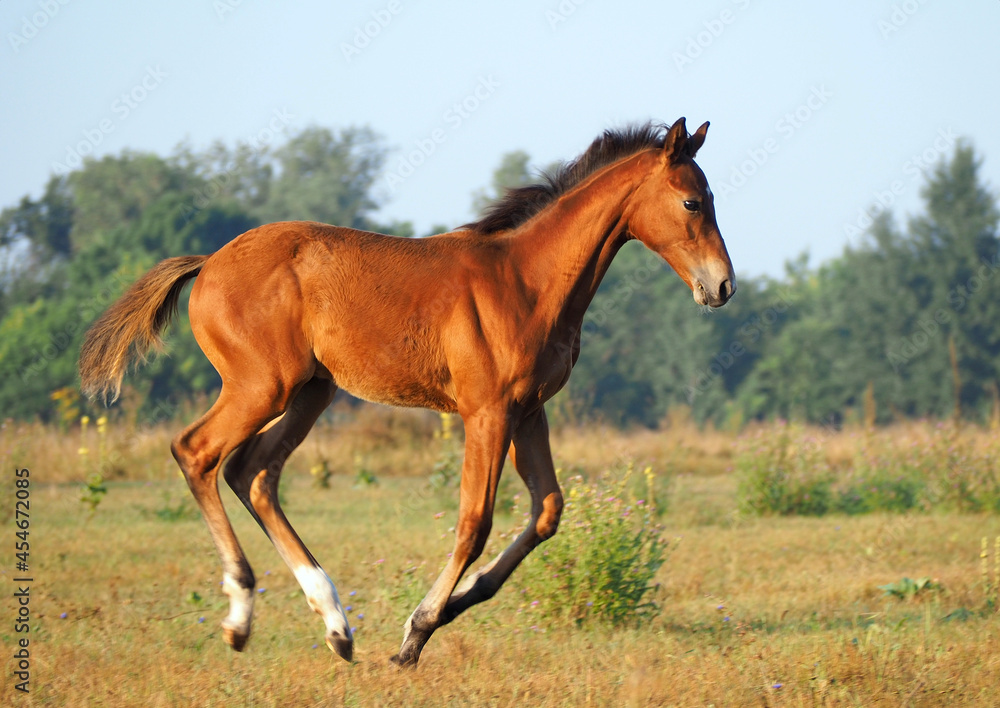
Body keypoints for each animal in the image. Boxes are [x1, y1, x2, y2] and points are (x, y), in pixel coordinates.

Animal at [79, 117, 735, 667]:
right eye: (691, 201)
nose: (723, 285)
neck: (526, 280)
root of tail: (209, 261)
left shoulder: (529, 410)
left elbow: (547, 511)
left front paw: (459, 602)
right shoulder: (486, 412)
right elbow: (474, 521)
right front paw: (416, 632)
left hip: (311, 392)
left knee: (253, 472)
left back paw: (336, 626)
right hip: (262, 385)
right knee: (198, 453)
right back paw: (242, 618)